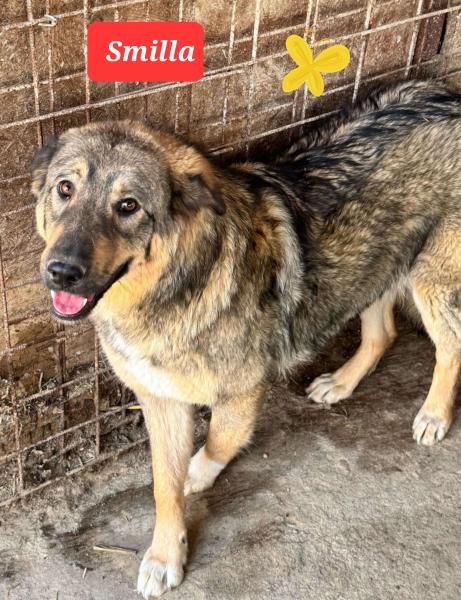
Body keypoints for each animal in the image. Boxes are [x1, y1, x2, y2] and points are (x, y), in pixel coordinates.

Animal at [32, 80, 461, 597]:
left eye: (128, 206)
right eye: (65, 189)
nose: (60, 272)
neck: (175, 288)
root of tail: (450, 96)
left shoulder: (242, 393)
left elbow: (218, 442)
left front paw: (197, 473)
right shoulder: (160, 400)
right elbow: (162, 485)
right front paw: (165, 554)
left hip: (428, 279)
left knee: (450, 345)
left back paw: (434, 415)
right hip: (376, 261)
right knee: (383, 334)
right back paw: (340, 383)